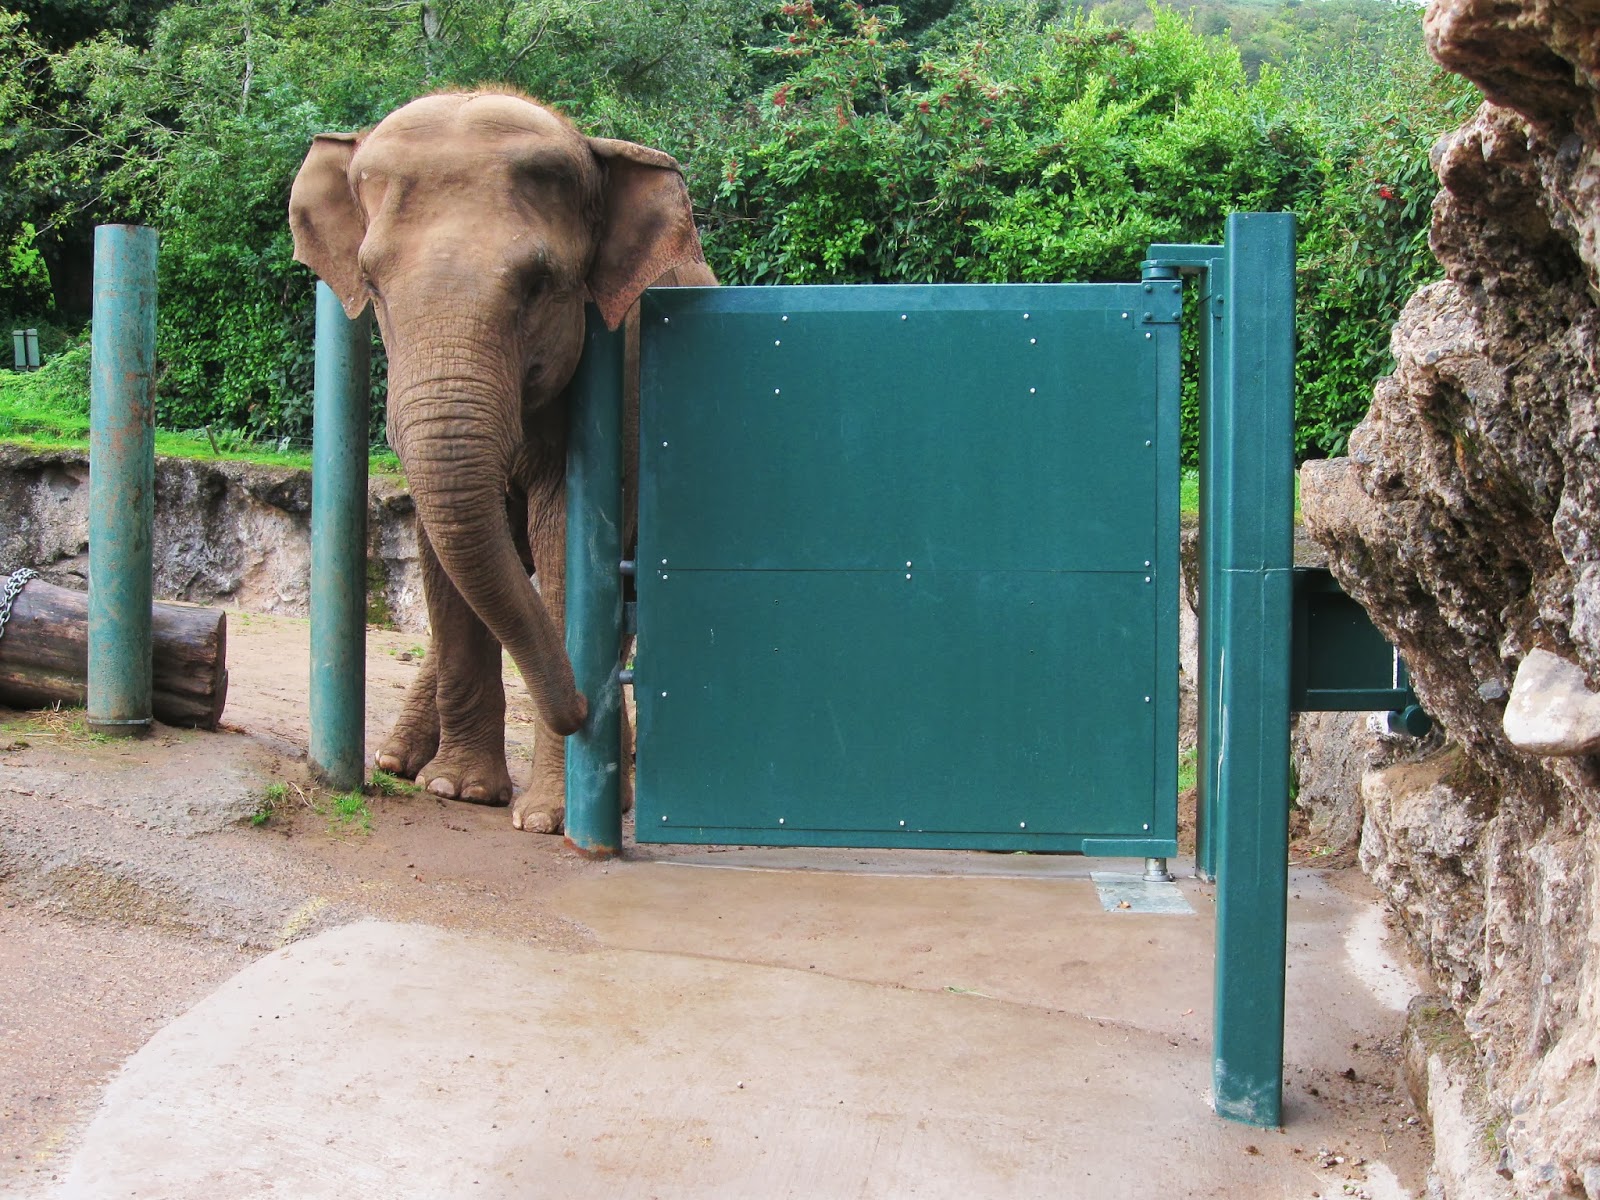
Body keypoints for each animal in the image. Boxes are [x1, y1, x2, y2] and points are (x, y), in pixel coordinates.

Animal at [289, 89, 715, 834]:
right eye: (370, 283)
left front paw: (545, 819)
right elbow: (439, 545)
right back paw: (399, 762)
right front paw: (458, 790)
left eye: (539, 285)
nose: (579, 710)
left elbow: (563, 538)